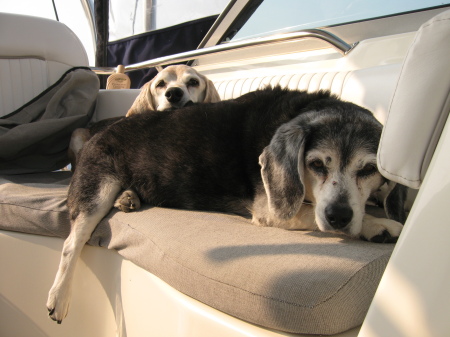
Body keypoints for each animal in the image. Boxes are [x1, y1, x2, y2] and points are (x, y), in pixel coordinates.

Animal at [46, 86, 408, 320]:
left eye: (369, 169)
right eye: (317, 164)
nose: (338, 217)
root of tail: (101, 128)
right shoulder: (271, 209)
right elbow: (313, 212)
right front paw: (379, 225)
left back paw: (129, 197)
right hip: (97, 189)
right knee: (72, 242)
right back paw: (59, 297)